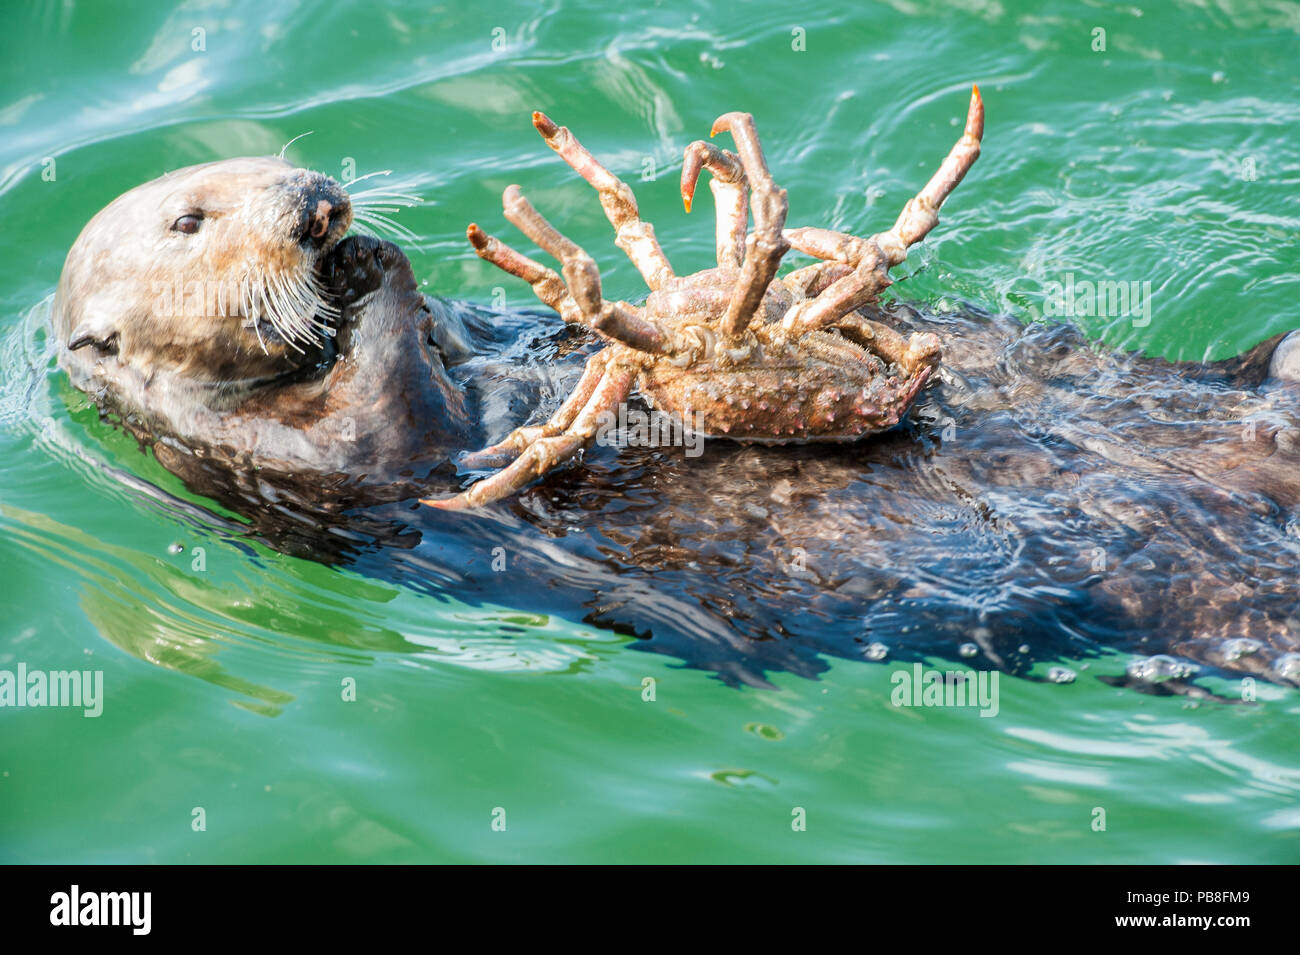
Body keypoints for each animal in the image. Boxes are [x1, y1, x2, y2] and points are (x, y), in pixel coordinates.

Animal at [50, 157, 1300, 693]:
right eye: (190, 219)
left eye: (284, 161)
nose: (321, 204)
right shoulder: (292, 463)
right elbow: (403, 425)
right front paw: (367, 272)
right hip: (1193, 601)